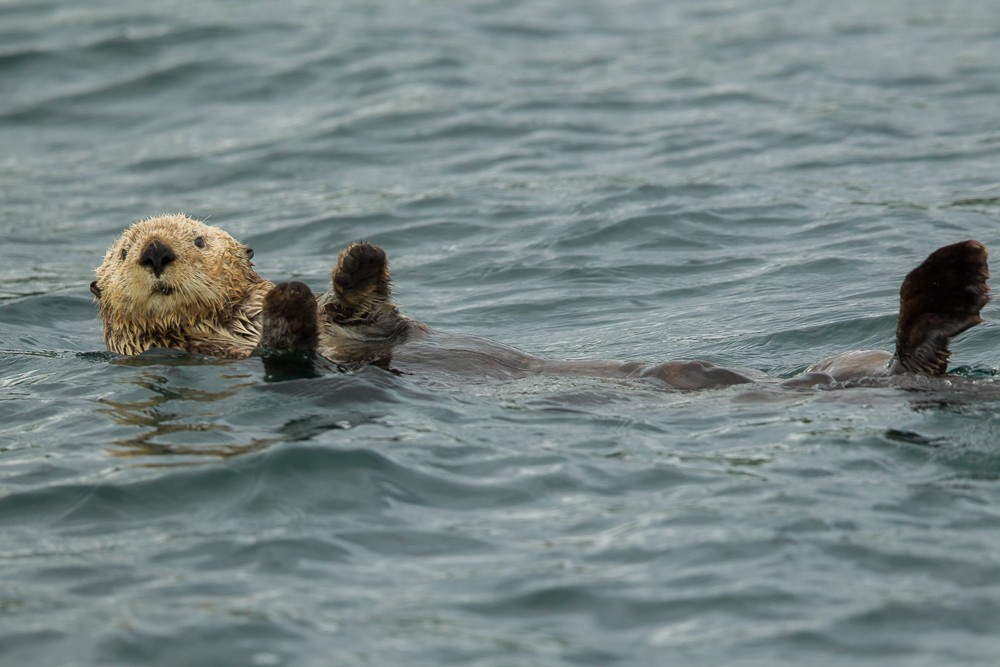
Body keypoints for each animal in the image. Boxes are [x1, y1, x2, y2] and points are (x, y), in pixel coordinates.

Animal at [94, 214, 752, 392]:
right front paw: (291, 295)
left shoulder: (373, 327)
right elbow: (289, 344)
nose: (155, 251)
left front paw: (358, 259)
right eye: (124, 251)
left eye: (198, 241)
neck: (233, 322)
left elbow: (368, 309)